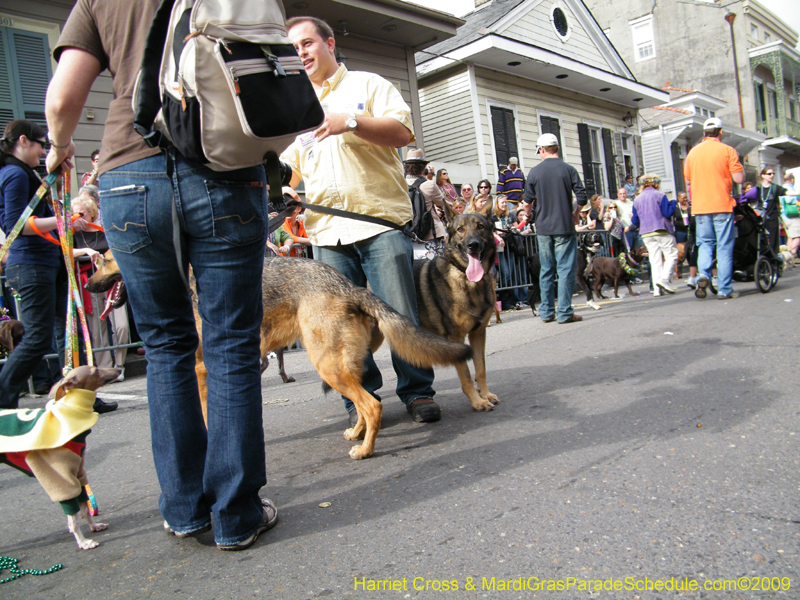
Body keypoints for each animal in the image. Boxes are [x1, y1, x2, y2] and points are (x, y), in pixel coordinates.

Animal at [88, 251, 472, 458]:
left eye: (103, 260)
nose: (88, 286)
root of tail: (348, 285)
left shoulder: (202, 372)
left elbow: (208, 417)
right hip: (340, 367)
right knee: (366, 402)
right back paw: (357, 434)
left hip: (328, 366)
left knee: (372, 405)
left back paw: (365, 450)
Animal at [412, 203, 500, 412]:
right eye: (460, 229)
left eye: (480, 227)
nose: (472, 245)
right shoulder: (456, 339)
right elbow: (467, 375)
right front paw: (477, 401)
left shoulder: (478, 333)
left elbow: (481, 369)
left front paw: (485, 395)